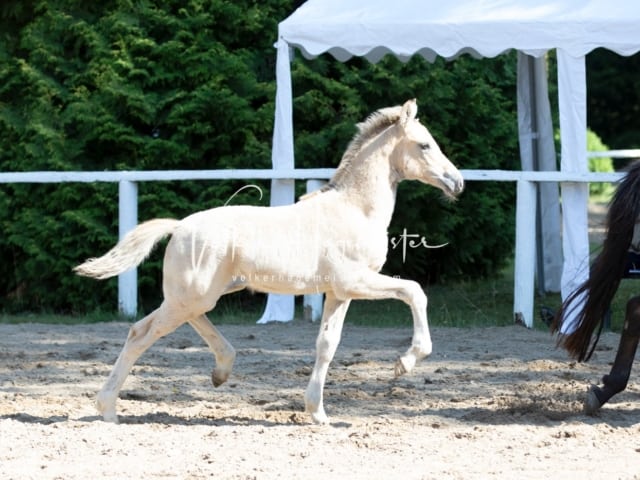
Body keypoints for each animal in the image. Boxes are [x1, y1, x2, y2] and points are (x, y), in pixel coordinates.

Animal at [76, 100, 464, 424]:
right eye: (425, 145)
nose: (457, 182)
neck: (355, 209)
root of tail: (180, 226)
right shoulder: (355, 280)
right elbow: (414, 291)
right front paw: (406, 361)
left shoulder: (339, 293)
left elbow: (327, 345)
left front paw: (318, 414)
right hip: (191, 296)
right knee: (142, 333)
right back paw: (108, 409)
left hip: (200, 295)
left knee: (174, 322)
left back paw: (221, 371)